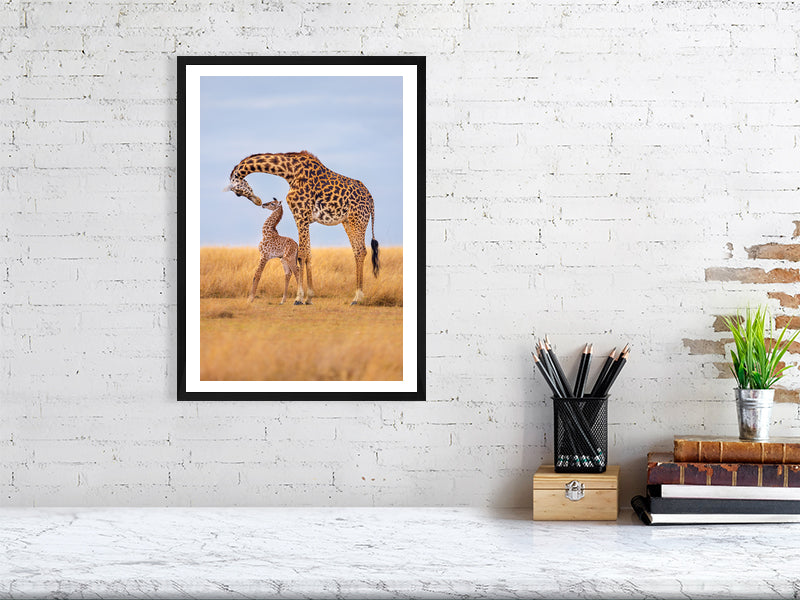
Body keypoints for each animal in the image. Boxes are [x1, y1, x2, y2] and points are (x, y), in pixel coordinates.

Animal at [223, 151, 379, 305]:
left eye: (237, 193)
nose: (258, 201)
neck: (290, 172)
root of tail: (371, 199)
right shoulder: (305, 219)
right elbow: (308, 254)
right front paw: (309, 297)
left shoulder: (300, 215)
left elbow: (301, 255)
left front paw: (298, 298)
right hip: (347, 221)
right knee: (357, 251)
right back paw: (357, 297)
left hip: (357, 220)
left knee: (361, 250)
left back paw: (357, 298)